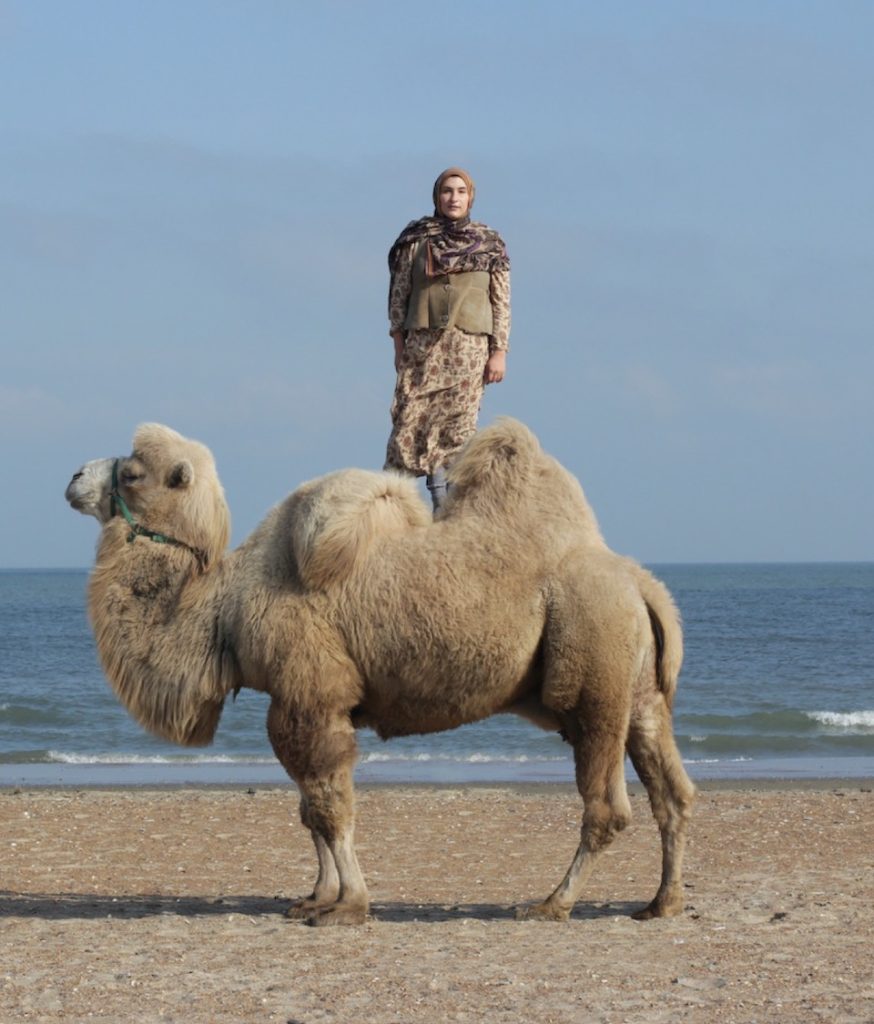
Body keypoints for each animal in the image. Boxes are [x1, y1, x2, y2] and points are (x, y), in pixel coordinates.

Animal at [65, 418, 695, 926]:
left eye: (133, 474)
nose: (73, 476)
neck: (225, 606)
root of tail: (640, 584)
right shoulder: (304, 702)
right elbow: (308, 810)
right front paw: (315, 897)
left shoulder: (310, 694)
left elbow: (328, 805)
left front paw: (348, 906)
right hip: (640, 693)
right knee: (672, 794)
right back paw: (661, 903)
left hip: (595, 671)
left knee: (607, 806)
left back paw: (551, 904)